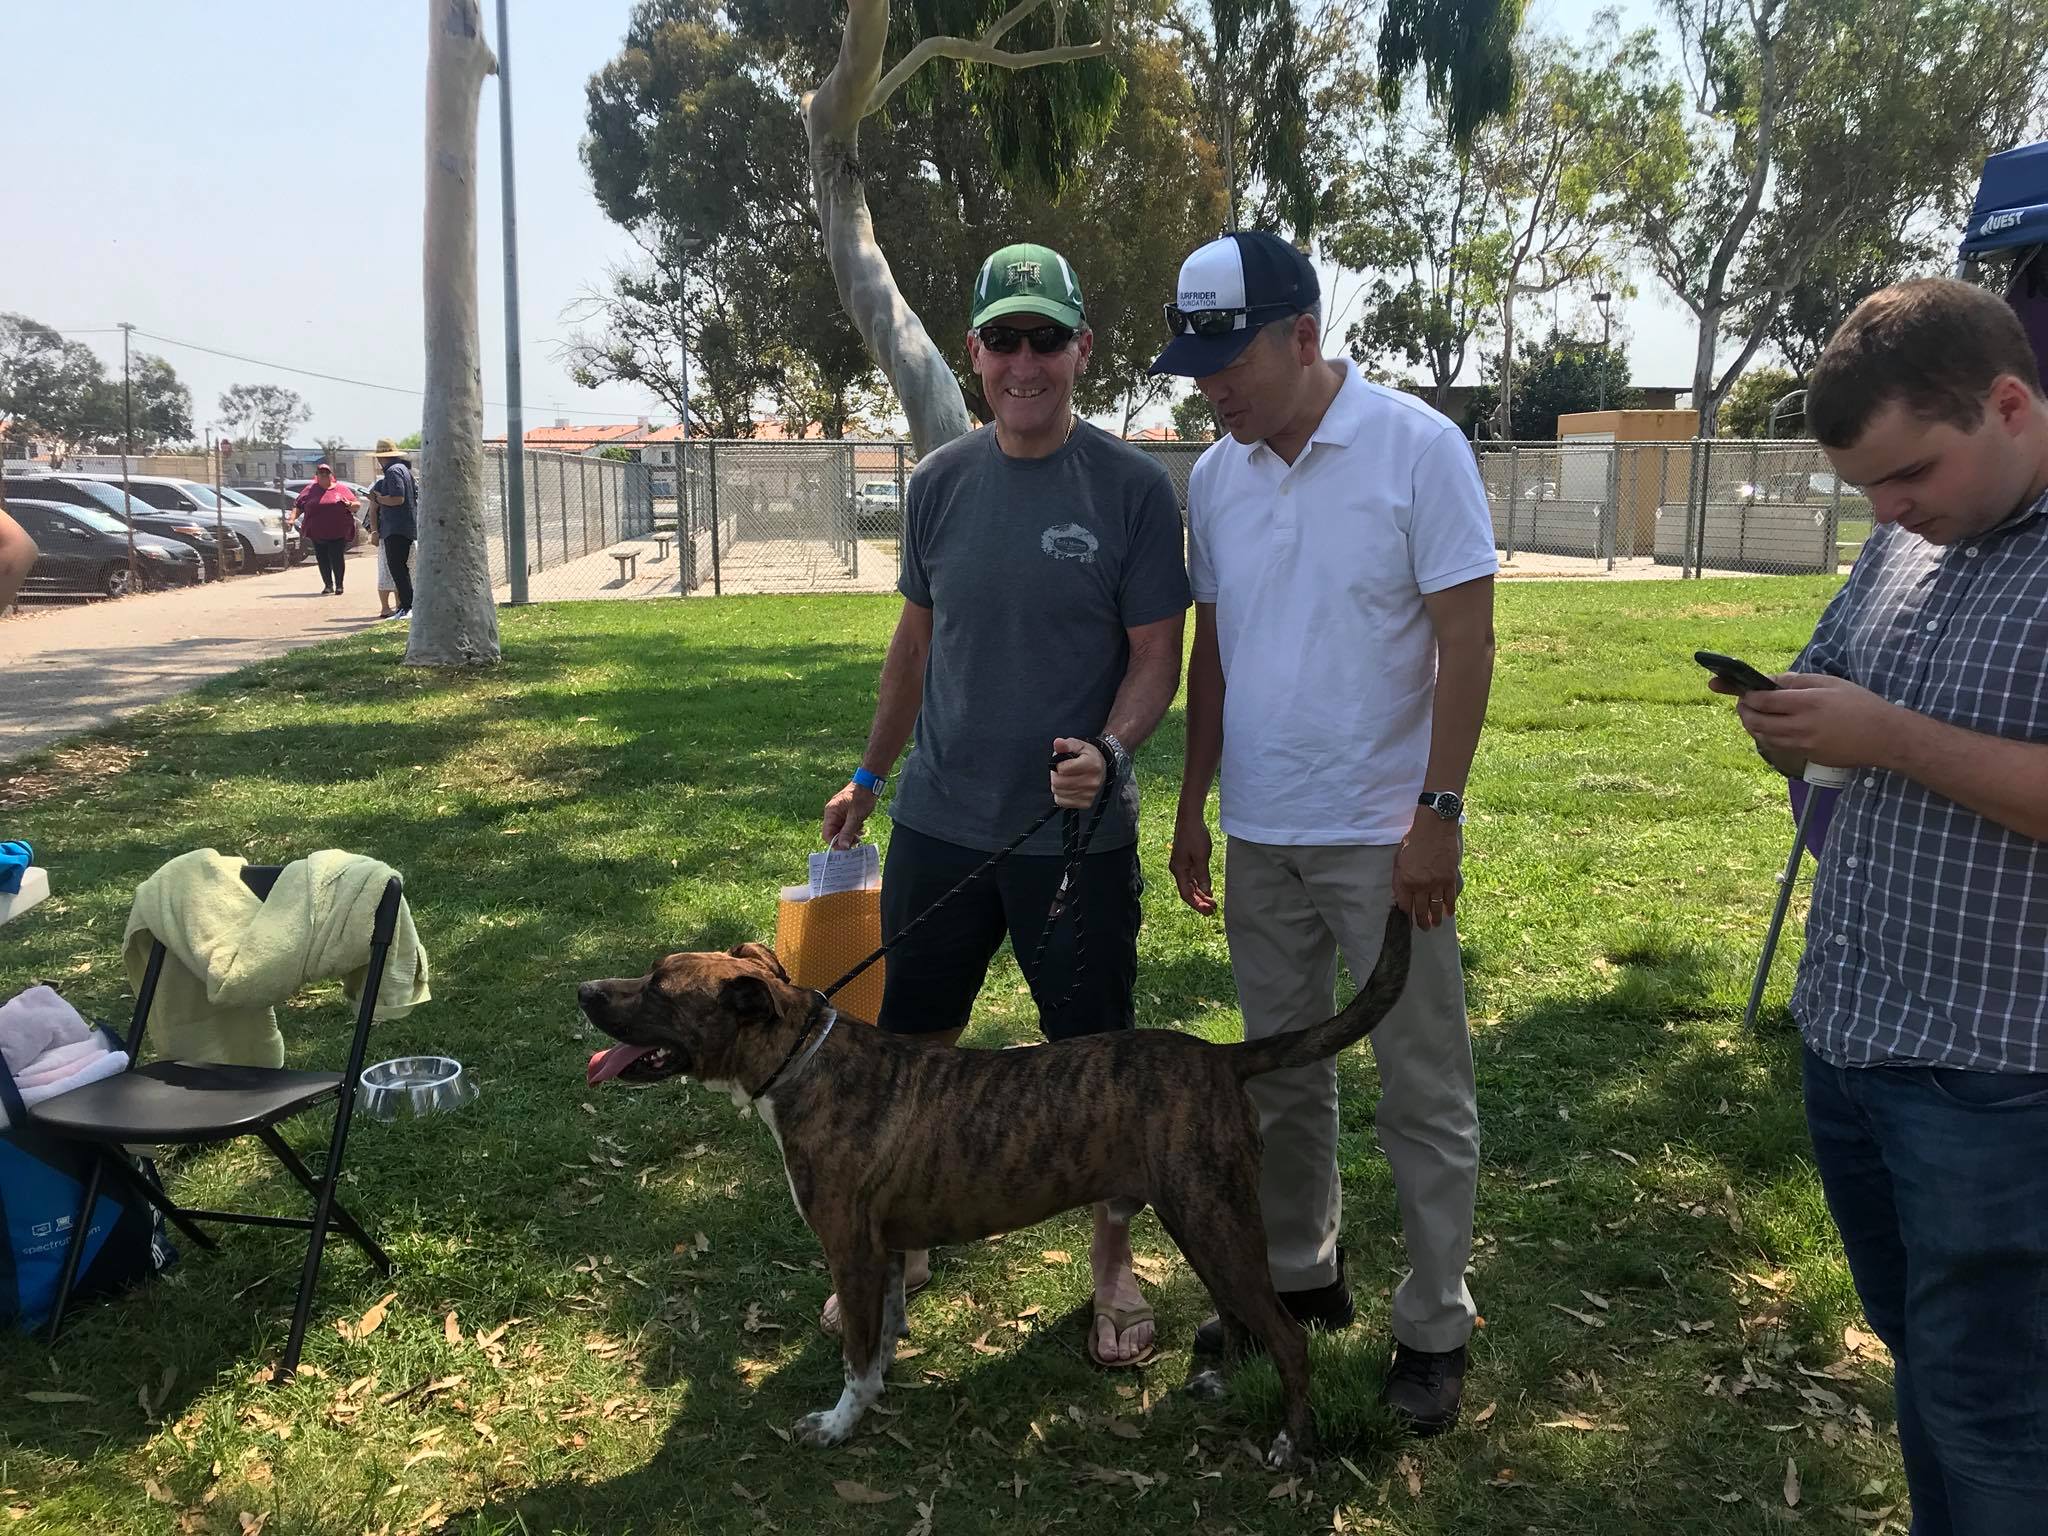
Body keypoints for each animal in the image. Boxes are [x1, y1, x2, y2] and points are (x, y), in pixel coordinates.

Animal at [577, 909, 1409, 1474]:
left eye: (659, 989)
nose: (584, 989)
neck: (801, 1061)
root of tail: (1221, 1055)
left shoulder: (849, 1249)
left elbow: (853, 1353)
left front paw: (840, 1423)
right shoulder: (883, 1250)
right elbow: (880, 1334)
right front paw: (876, 1390)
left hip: (1213, 1220)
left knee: (1289, 1337)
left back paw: (1290, 1443)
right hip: (1203, 1221)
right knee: (1241, 1317)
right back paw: (1215, 1383)